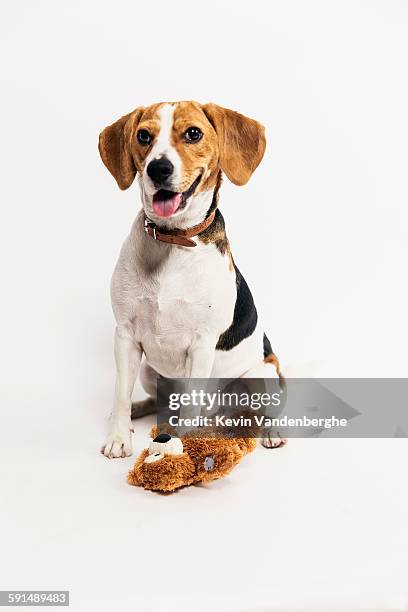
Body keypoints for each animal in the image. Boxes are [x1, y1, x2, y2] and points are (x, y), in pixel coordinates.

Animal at [97, 103, 286, 460]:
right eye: (143, 136)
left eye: (193, 133)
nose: (158, 168)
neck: (173, 241)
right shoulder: (125, 335)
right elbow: (119, 392)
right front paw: (118, 436)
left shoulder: (201, 343)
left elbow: (189, 406)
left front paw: (179, 447)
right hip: (149, 370)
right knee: (149, 398)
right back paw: (137, 411)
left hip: (263, 374)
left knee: (268, 409)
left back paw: (272, 431)